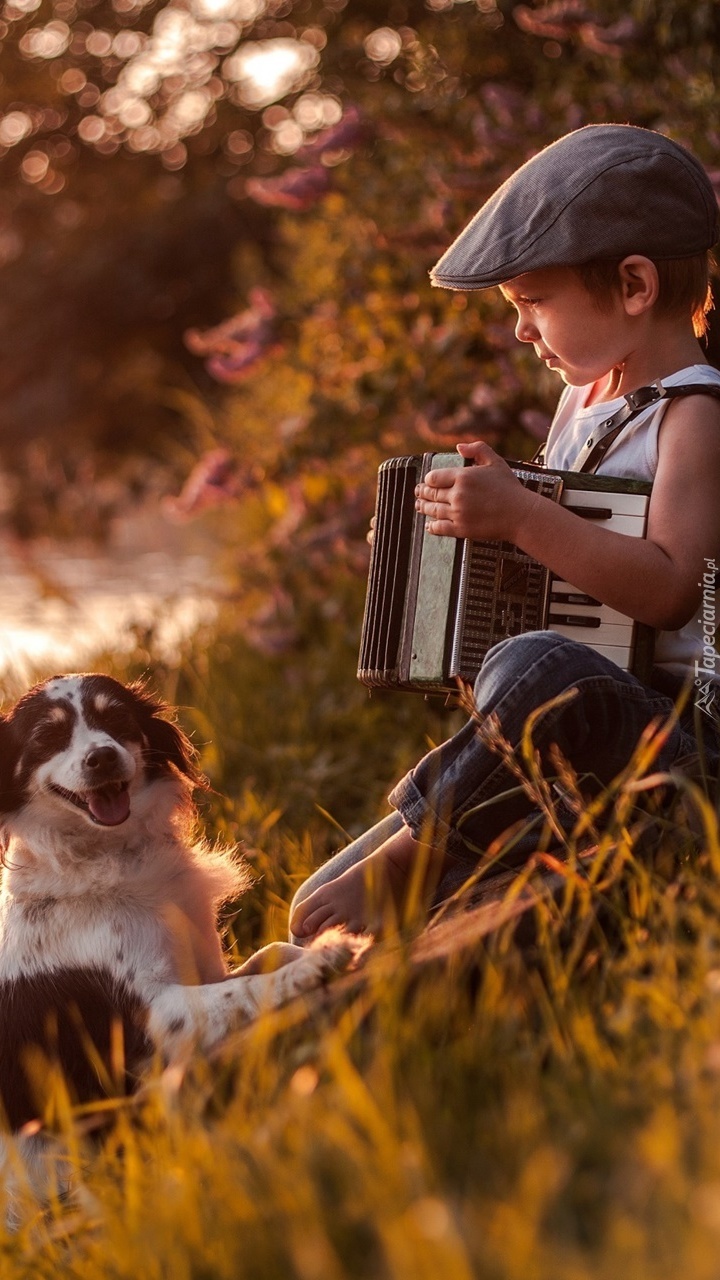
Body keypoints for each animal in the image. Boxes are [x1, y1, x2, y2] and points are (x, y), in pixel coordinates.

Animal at [0, 670, 361, 1152]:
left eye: (116, 717)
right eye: (48, 736)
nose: (102, 757)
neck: (113, 855)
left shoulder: (201, 967)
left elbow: (269, 952)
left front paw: (324, 946)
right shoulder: (150, 1018)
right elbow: (247, 989)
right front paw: (316, 964)